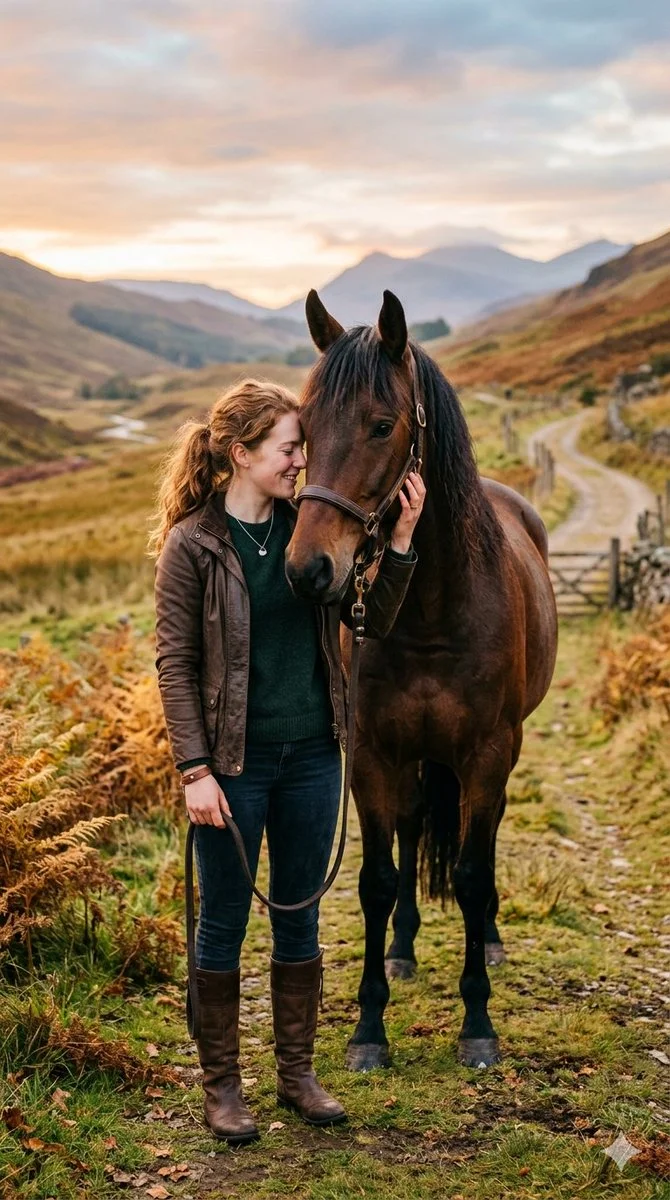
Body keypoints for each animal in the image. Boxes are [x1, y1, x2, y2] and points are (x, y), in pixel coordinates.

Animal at [285, 289, 558, 1071]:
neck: (434, 607)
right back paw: (404, 950)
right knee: (410, 833)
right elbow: (377, 880)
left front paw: (478, 1022)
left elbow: (470, 873)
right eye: (303, 428)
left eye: (382, 425)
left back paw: (489, 940)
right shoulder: (375, 754)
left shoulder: (488, 754)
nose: (308, 570)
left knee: (481, 840)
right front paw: (368, 1027)